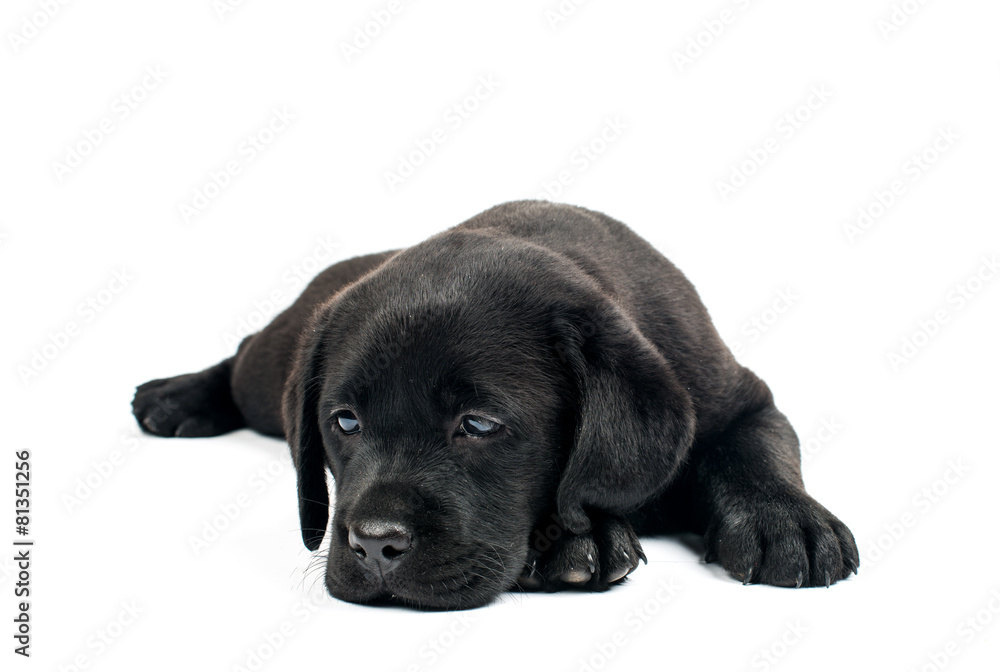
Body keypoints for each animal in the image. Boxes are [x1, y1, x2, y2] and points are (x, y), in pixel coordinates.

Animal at [129, 200, 856, 608]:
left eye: (478, 425)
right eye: (345, 422)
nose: (373, 545)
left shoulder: (738, 397)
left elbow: (755, 447)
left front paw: (786, 523)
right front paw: (579, 539)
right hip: (270, 368)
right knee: (243, 353)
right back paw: (176, 395)